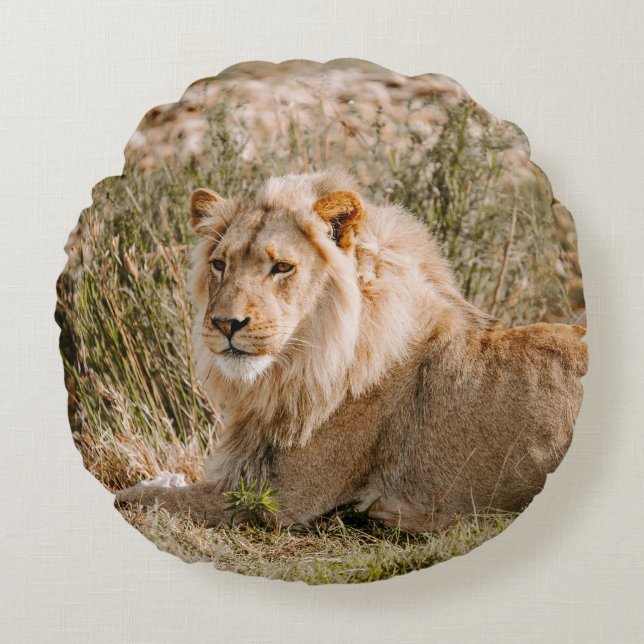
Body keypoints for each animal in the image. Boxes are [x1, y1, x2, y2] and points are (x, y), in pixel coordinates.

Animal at [115, 167, 588, 532]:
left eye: (281, 267)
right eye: (219, 264)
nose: (226, 324)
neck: (292, 371)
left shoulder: (278, 500)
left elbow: (138, 499)